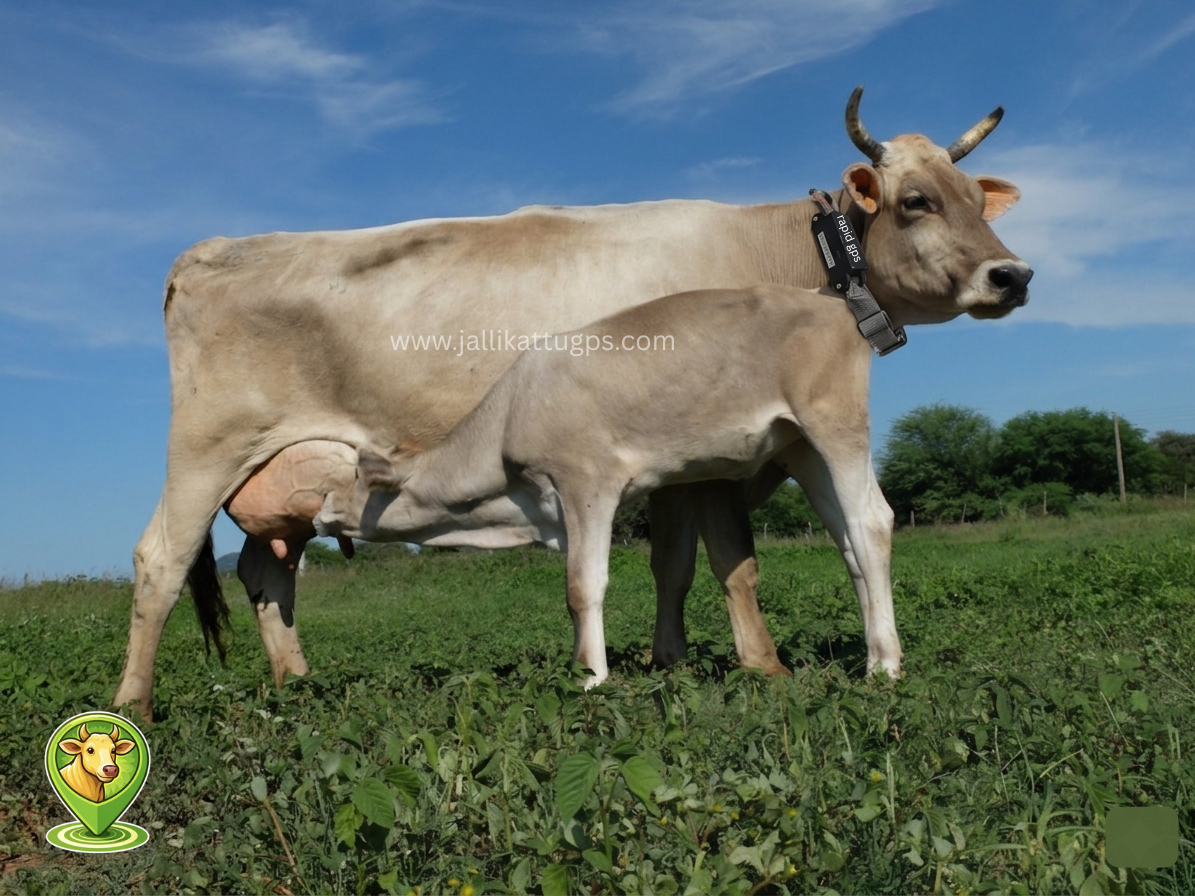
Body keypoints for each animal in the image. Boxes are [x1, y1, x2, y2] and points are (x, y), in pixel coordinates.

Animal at [112, 87, 1029, 719]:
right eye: (914, 201)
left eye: (975, 201)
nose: (1011, 275)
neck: (775, 251)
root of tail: (206, 252)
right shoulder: (707, 460)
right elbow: (731, 560)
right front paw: (761, 664)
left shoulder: (670, 462)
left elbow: (674, 563)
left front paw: (669, 659)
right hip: (206, 448)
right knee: (161, 558)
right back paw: (131, 707)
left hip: (285, 478)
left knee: (266, 569)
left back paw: (295, 685)